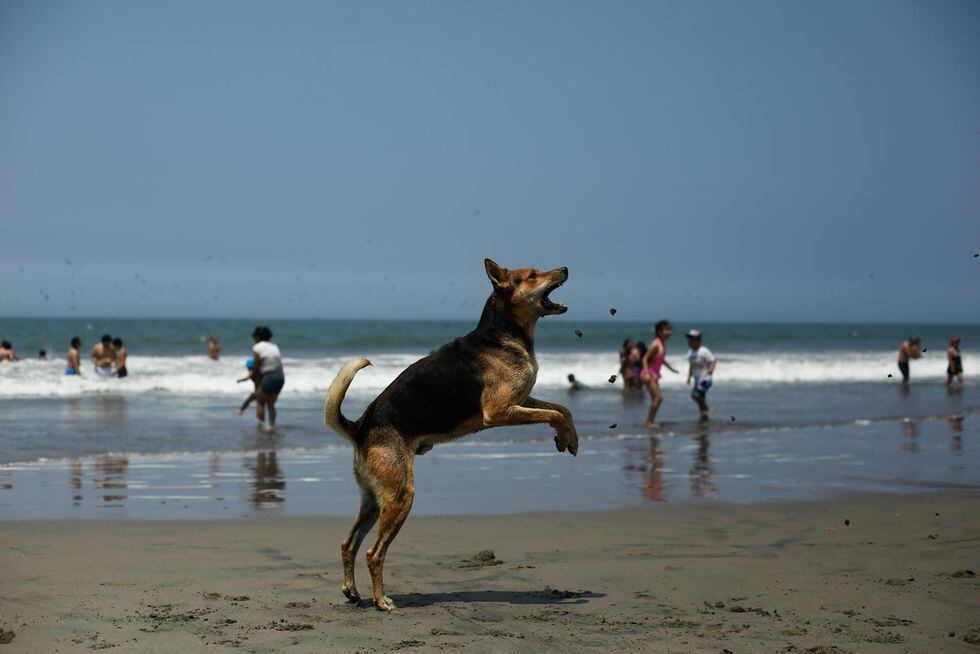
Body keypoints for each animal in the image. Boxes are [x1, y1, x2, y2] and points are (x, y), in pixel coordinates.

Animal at [324, 258, 578, 611]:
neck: (503, 333)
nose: (565, 268)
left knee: (348, 543)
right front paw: (562, 436)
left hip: (374, 499)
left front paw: (571, 438)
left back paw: (352, 592)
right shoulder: (499, 411)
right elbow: (553, 413)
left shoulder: (522, 400)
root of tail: (360, 427)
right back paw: (381, 600)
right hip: (401, 496)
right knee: (374, 553)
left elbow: (562, 409)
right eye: (531, 276)